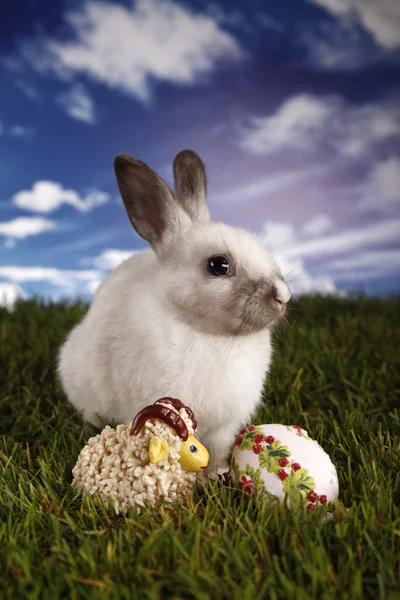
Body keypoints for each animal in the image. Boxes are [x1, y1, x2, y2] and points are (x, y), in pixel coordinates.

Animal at [57, 151, 290, 478]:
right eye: (218, 265)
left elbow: (218, 449)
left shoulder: (224, 427)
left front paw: (217, 473)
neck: (210, 334)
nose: (283, 296)